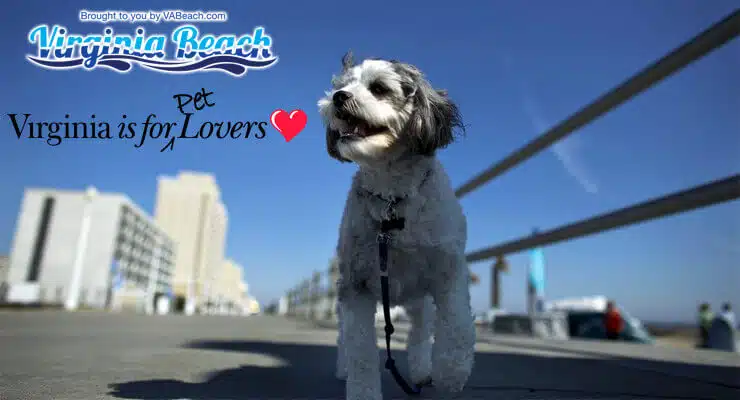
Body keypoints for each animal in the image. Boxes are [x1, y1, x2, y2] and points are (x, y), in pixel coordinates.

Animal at [318, 50, 474, 400]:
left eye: (378, 88)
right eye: (341, 85)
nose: (338, 97)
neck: (393, 198)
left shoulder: (448, 269)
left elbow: (456, 324)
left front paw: (450, 375)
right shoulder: (357, 284)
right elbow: (361, 350)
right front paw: (362, 391)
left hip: (419, 300)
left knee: (419, 333)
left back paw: (421, 371)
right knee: (345, 337)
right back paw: (342, 367)